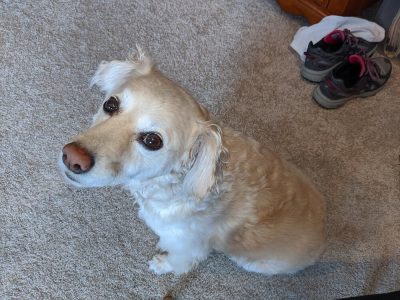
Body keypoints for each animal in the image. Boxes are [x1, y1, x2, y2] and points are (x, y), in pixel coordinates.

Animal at [61, 50, 326, 276]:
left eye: (152, 140)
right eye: (110, 104)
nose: (73, 157)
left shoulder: (187, 247)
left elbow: (178, 261)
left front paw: (161, 264)